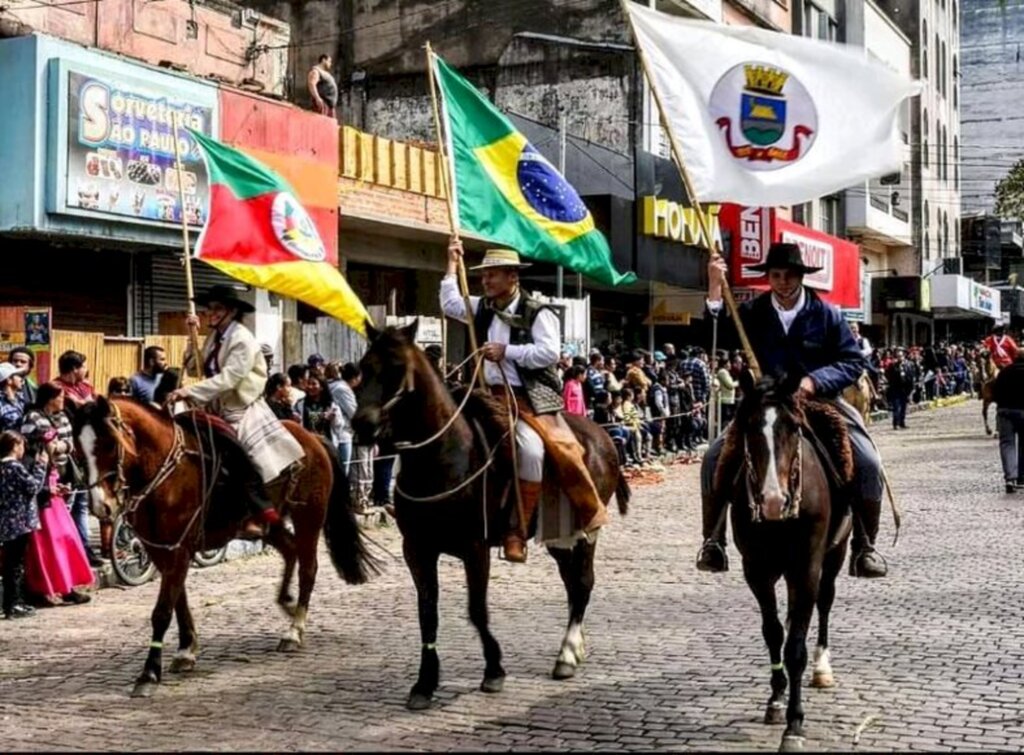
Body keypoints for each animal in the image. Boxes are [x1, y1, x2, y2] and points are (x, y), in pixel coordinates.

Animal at [72, 397, 376, 696]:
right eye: (78, 449)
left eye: (109, 443)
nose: (102, 506)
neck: (165, 471)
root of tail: (312, 436)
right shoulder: (162, 550)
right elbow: (178, 601)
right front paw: (186, 650)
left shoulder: (178, 549)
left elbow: (162, 611)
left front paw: (148, 673)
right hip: (273, 523)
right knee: (290, 551)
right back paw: (286, 603)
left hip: (309, 518)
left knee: (308, 568)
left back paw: (294, 629)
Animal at [354, 321, 630, 708]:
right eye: (364, 367)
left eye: (396, 369)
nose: (362, 425)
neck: (442, 457)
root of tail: (603, 437)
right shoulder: (418, 549)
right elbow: (427, 612)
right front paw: (424, 683)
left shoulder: (475, 548)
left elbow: (476, 610)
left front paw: (494, 670)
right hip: (558, 535)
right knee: (572, 583)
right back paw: (575, 649)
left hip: (586, 531)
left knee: (584, 582)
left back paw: (566, 654)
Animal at [712, 374, 856, 749]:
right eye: (749, 426)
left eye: (793, 428)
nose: (773, 501)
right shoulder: (756, 570)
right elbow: (774, 633)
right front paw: (776, 700)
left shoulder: (806, 568)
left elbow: (795, 649)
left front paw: (795, 724)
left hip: (834, 556)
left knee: (825, 602)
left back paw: (822, 668)